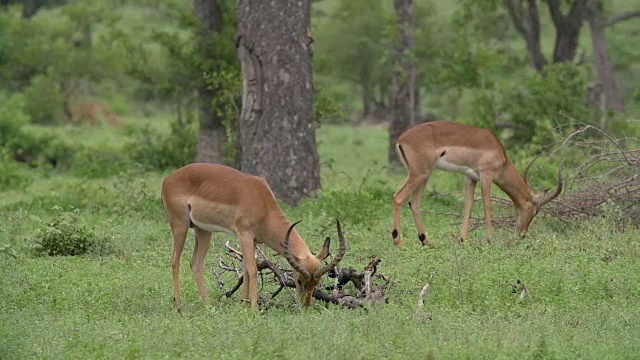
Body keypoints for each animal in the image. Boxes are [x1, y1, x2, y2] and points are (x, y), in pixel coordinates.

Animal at [162, 163, 348, 310]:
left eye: (317, 282)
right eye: (300, 280)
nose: (306, 306)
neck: (263, 203)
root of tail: (168, 179)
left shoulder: (253, 241)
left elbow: (246, 268)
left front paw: (243, 305)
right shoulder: (244, 235)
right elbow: (252, 269)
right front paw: (253, 309)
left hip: (203, 230)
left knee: (196, 264)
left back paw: (208, 304)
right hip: (180, 225)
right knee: (175, 261)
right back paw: (178, 305)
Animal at [390, 121, 564, 248]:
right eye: (535, 210)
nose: (522, 234)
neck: (501, 156)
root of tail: (401, 140)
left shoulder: (470, 177)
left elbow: (469, 204)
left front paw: (463, 240)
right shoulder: (486, 175)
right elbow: (488, 204)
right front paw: (491, 238)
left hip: (423, 176)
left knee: (414, 203)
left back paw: (426, 241)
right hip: (420, 174)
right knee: (398, 197)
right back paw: (398, 242)